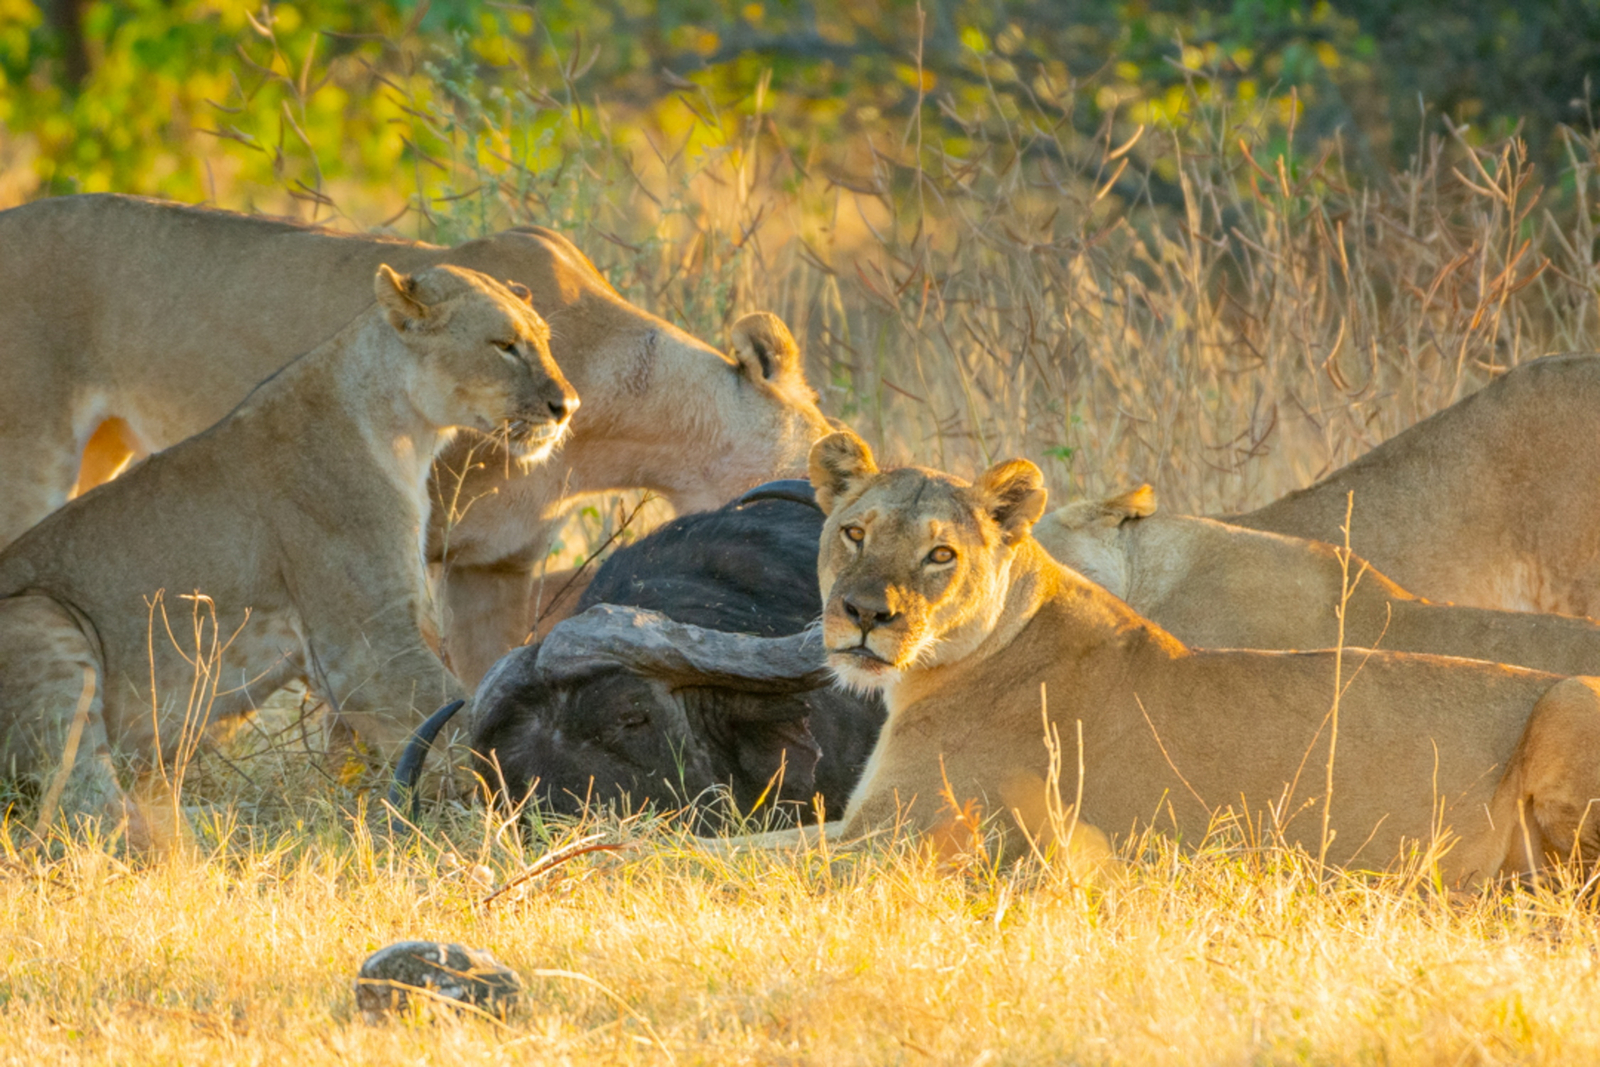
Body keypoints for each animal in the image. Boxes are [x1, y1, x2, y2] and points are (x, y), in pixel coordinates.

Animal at [0, 264, 577, 848]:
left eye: (546, 342)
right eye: (505, 346)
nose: (568, 406)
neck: (407, 434)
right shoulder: (364, 648)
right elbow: (459, 724)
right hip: (39, 616)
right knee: (83, 807)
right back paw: (212, 833)